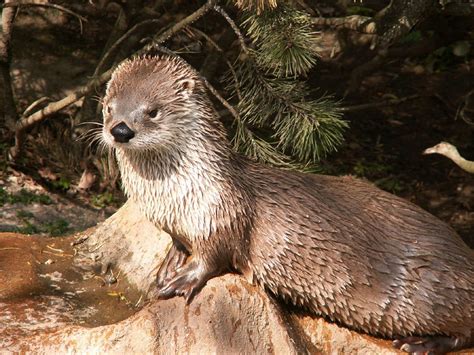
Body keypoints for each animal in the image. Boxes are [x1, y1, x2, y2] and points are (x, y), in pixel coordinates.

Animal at [101, 55, 474, 354]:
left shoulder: (224, 212)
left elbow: (213, 257)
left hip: (437, 287)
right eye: (108, 107)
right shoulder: (177, 223)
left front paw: (182, 279)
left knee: (464, 330)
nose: (120, 129)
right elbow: (179, 243)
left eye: (152, 111)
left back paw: (422, 343)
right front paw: (166, 267)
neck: (178, 196)